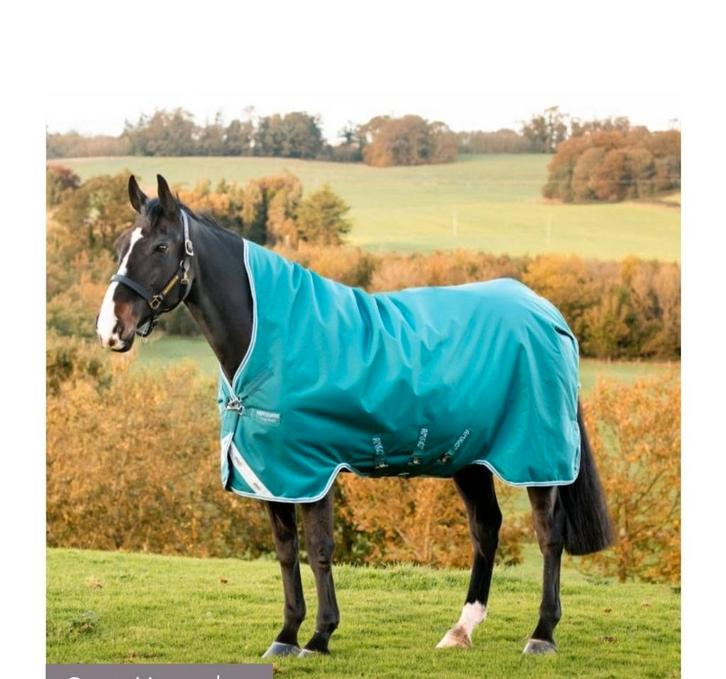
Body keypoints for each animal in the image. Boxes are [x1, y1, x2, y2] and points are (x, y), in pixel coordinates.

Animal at [96, 174, 613, 658]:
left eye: (161, 247)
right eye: (121, 246)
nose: (110, 329)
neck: (269, 340)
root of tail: (547, 312)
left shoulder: (313, 470)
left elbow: (320, 550)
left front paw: (319, 636)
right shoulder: (272, 474)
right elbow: (286, 552)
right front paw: (285, 635)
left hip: (536, 457)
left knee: (550, 535)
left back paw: (542, 633)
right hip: (468, 457)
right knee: (486, 528)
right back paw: (460, 630)